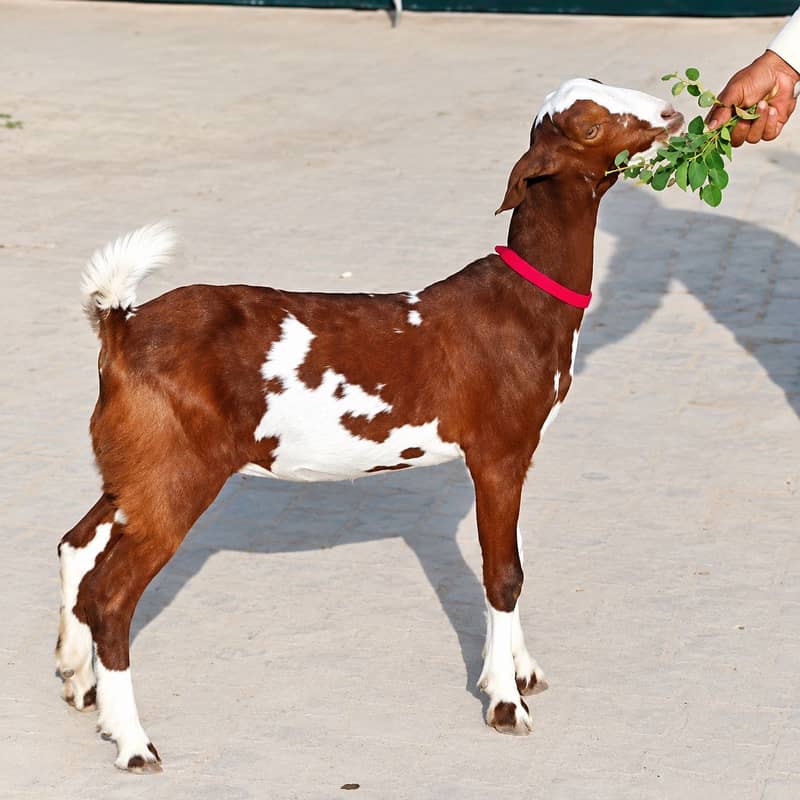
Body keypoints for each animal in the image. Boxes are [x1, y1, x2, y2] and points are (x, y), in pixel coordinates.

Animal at [56, 79, 683, 772]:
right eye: (591, 127)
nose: (671, 113)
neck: (521, 302)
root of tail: (120, 326)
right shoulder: (497, 452)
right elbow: (503, 575)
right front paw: (504, 704)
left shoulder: (515, 456)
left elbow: (511, 564)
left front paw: (519, 672)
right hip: (174, 477)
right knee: (112, 596)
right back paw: (133, 742)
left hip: (135, 469)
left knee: (77, 547)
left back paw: (79, 680)